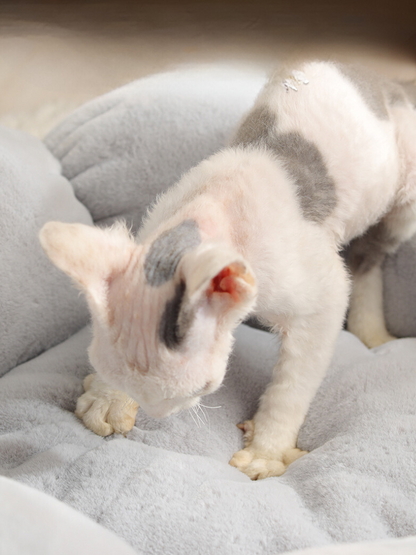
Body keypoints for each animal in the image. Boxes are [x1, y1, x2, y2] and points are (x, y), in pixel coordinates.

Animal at [39, 59, 416, 478]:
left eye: (201, 391)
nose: (161, 415)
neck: (214, 208)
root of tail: (386, 80)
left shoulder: (321, 294)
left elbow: (293, 383)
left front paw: (267, 450)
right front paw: (108, 399)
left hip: (404, 193)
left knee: (369, 257)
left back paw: (372, 332)